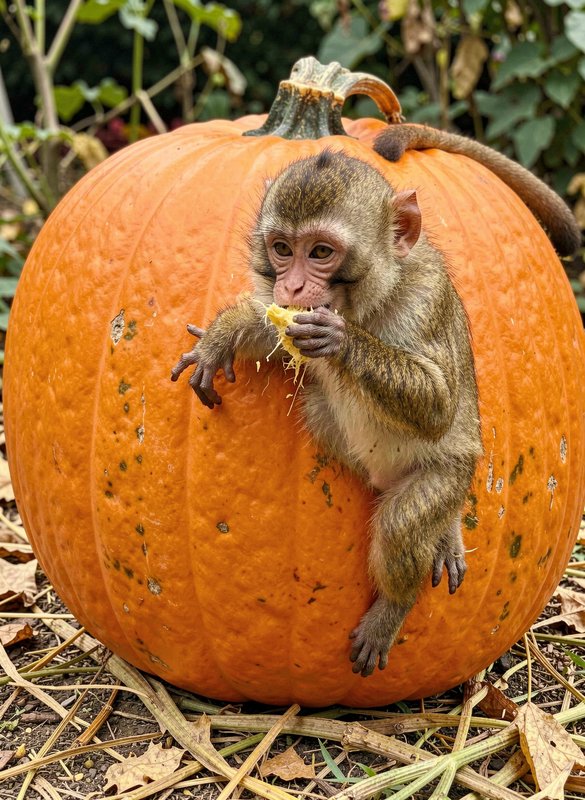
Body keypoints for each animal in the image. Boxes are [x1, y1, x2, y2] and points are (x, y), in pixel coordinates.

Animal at [171, 150, 483, 678]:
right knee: (319, 404)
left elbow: (440, 405)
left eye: (320, 252)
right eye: (281, 248)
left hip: (452, 472)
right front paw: (220, 339)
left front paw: (340, 341)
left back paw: (400, 596)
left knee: (405, 521)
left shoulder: (424, 299)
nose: (293, 286)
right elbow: (273, 330)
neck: (367, 305)